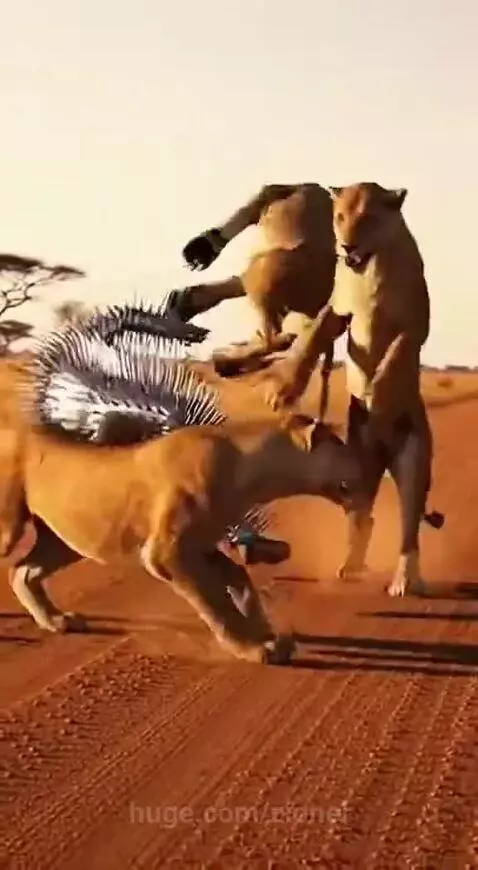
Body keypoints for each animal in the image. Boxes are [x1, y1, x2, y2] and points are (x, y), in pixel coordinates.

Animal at [260, 182, 441, 597]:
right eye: (339, 216)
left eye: (368, 218)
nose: (345, 245)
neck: (369, 270)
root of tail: (385, 453)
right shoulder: (338, 311)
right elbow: (312, 338)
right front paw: (284, 391)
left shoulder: (414, 326)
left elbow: (393, 358)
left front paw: (378, 393)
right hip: (359, 462)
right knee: (362, 514)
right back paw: (351, 566)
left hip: (414, 460)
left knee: (409, 528)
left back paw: (405, 580)